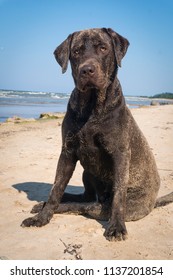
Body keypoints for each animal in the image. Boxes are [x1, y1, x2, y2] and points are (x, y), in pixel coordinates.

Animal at [21, 29, 172, 243]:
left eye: (103, 48)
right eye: (76, 51)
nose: (87, 70)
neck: (91, 106)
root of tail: (152, 203)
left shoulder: (120, 154)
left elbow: (118, 196)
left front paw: (116, 226)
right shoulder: (67, 152)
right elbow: (56, 189)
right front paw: (42, 217)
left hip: (105, 202)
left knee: (87, 205)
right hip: (86, 172)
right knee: (83, 197)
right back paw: (43, 205)